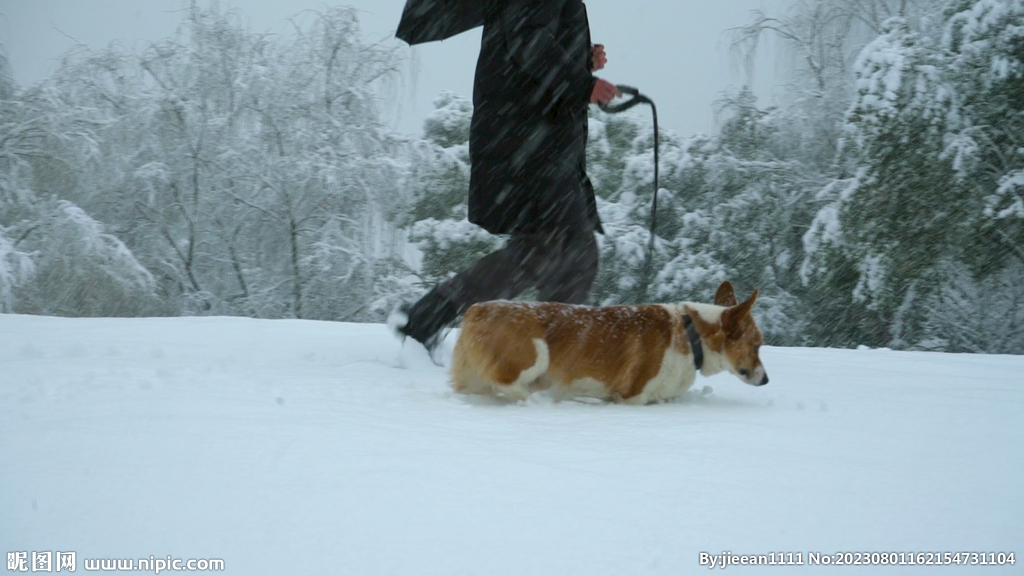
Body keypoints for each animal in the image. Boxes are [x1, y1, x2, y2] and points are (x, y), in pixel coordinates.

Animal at [450, 280, 770, 401]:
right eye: (757, 345)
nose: (766, 380)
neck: (692, 337)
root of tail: (475, 309)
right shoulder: (634, 397)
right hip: (536, 354)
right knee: (507, 384)